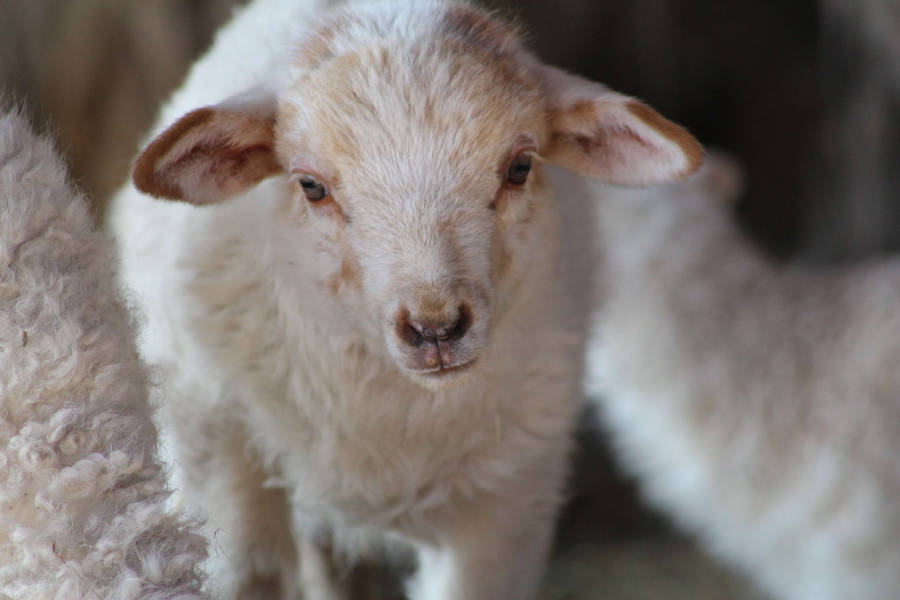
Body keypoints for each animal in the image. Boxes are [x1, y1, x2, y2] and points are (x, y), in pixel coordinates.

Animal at [106, 0, 703, 598]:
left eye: (520, 168)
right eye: (310, 186)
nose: (436, 329)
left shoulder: (510, 502)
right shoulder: (217, 445)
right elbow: (252, 572)